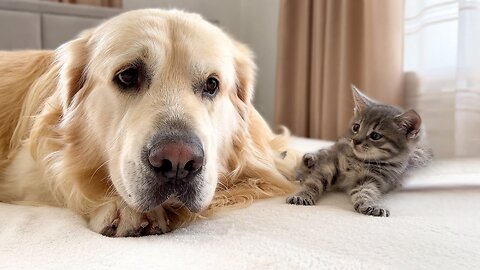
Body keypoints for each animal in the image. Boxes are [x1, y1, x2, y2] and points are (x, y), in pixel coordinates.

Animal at [286, 85, 434, 216]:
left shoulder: (374, 178)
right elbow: (314, 182)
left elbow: (366, 191)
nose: (355, 140)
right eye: (356, 127)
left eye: (375, 136)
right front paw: (302, 195)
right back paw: (309, 161)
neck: (359, 161)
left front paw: (370, 206)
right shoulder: (330, 163)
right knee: (322, 153)